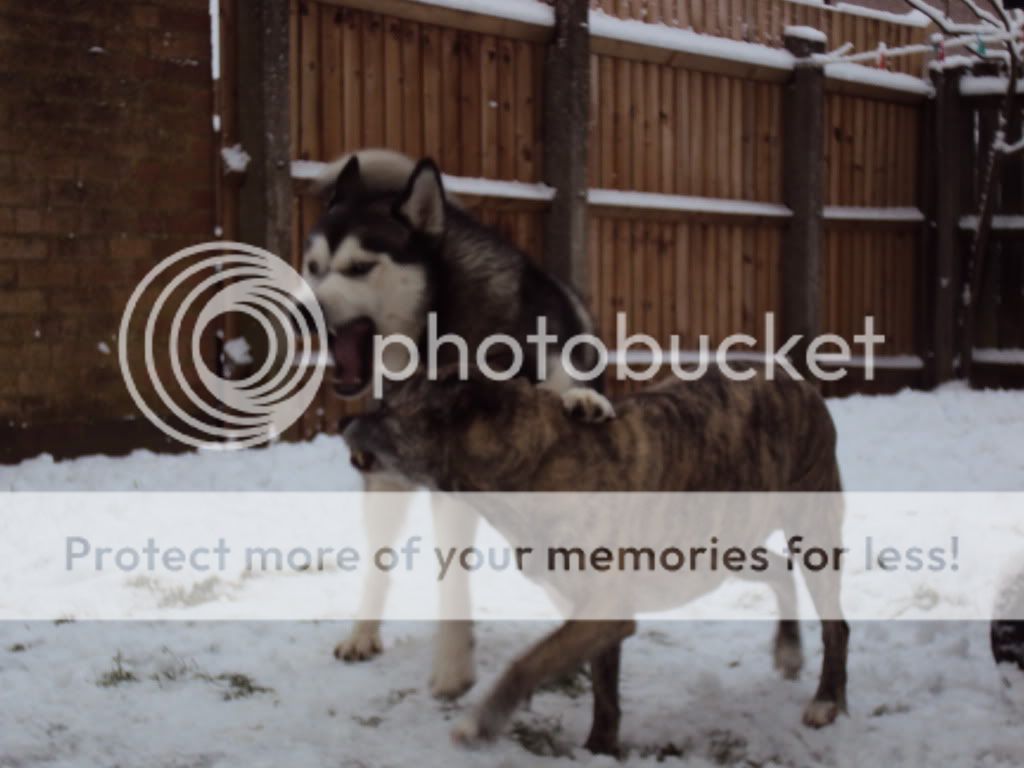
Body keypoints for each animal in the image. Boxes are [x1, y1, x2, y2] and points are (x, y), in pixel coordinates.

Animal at [344, 370, 847, 753]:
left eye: (386, 407)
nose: (346, 419)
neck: (534, 461)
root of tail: (800, 385)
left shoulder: (604, 609)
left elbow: (529, 661)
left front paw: (482, 722)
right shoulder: (593, 613)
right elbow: (603, 689)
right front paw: (600, 748)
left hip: (811, 532)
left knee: (835, 624)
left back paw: (827, 700)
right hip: (721, 550)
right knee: (781, 570)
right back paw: (788, 649)